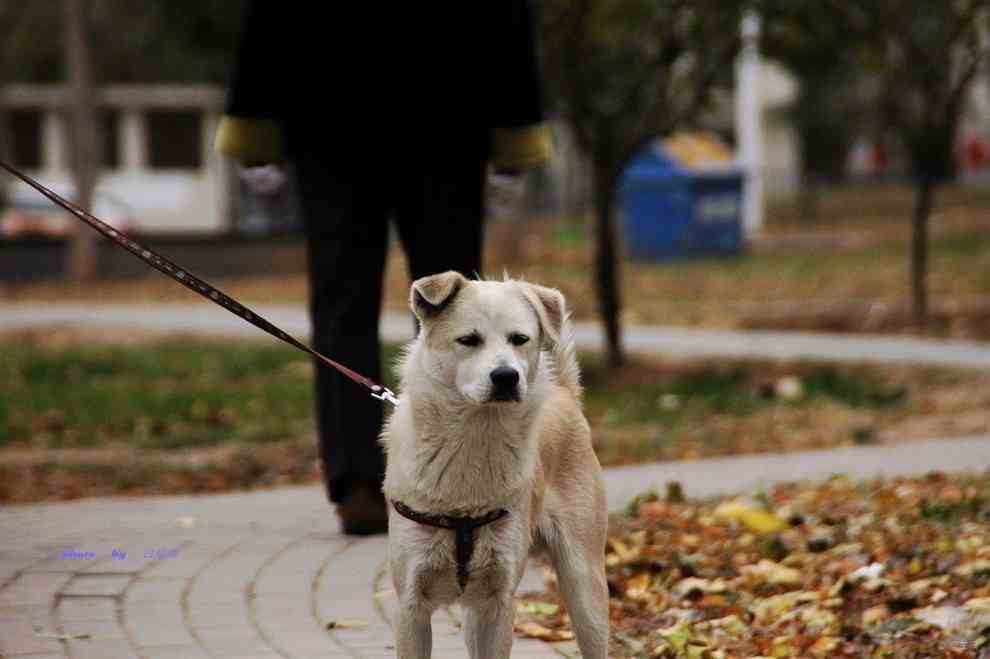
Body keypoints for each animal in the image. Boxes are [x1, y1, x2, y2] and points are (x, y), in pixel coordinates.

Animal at [382, 270, 608, 656]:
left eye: (519, 339)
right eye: (468, 340)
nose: (506, 376)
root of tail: (564, 392)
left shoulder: (499, 603)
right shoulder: (410, 607)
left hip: (585, 587)